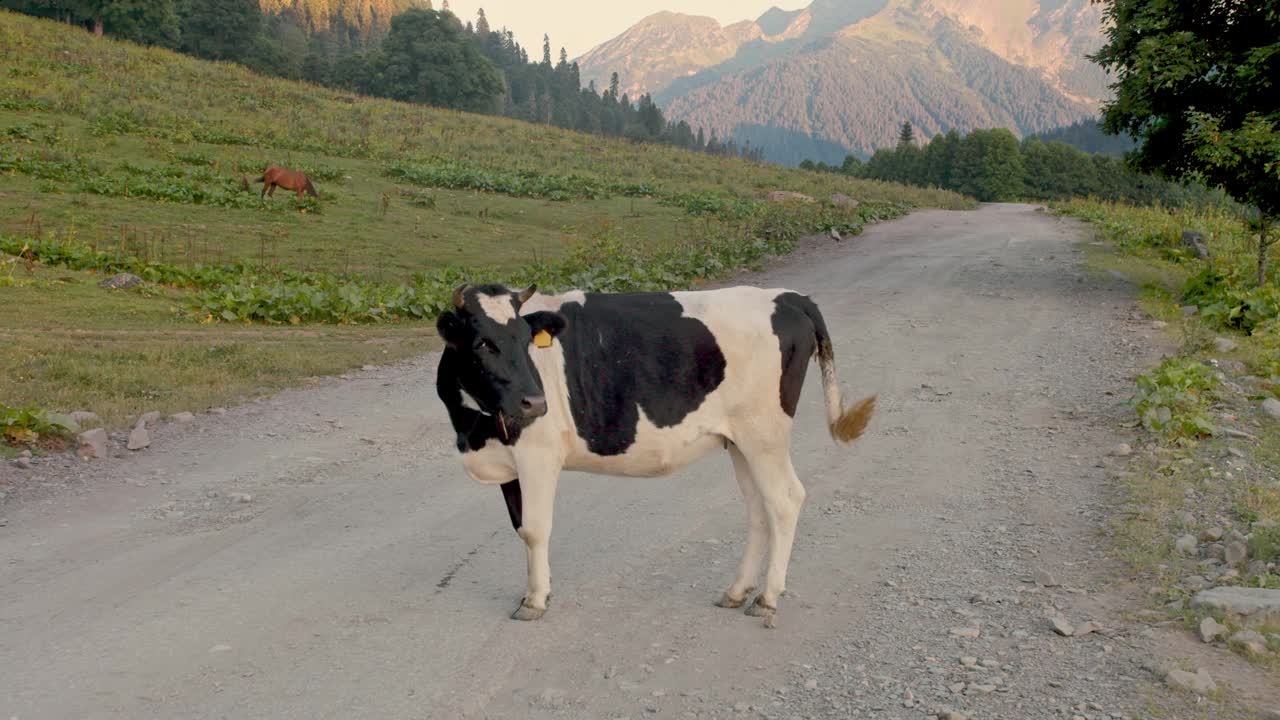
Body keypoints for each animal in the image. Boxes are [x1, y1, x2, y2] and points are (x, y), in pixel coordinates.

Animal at [435, 283, 875, 620]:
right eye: (483, 343)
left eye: (527, 341)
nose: (535, 402)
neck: (472, 429)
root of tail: (789, 296)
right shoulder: (508, 461)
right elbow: (519, 527)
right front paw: (535, 590)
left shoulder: (538, 455)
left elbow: (534, 529)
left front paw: (535, 601)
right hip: (741, 441)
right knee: (758, 509)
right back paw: (736, 592)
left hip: (763, 434)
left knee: (784, 500)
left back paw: (767, 599)